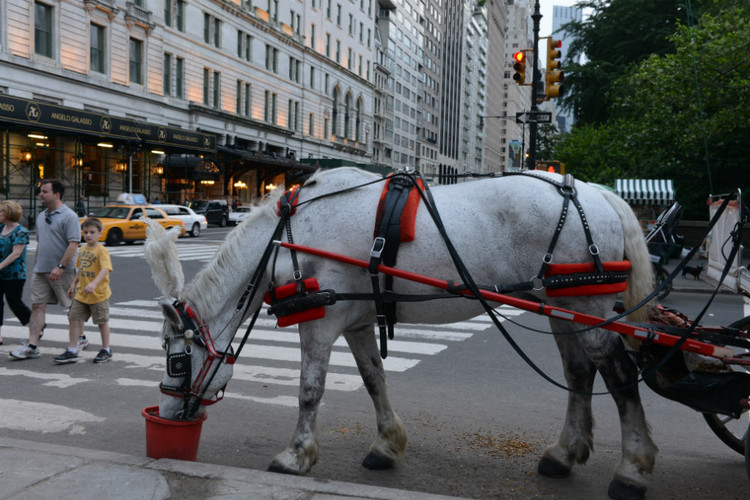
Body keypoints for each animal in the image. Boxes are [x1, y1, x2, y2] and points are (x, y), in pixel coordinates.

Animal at [145, 168, 656, 500]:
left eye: (175, 360)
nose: (167, 416)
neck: (287, 236)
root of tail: (594, 192)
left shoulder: (319, 324)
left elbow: (310, 390)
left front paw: (296, 455)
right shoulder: (355, 322)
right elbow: (374, 380)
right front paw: (386, 445)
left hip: (587, 310)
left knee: (617, 373)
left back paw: (632, 469)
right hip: (562, 307)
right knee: (579, 373)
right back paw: (564, 454)